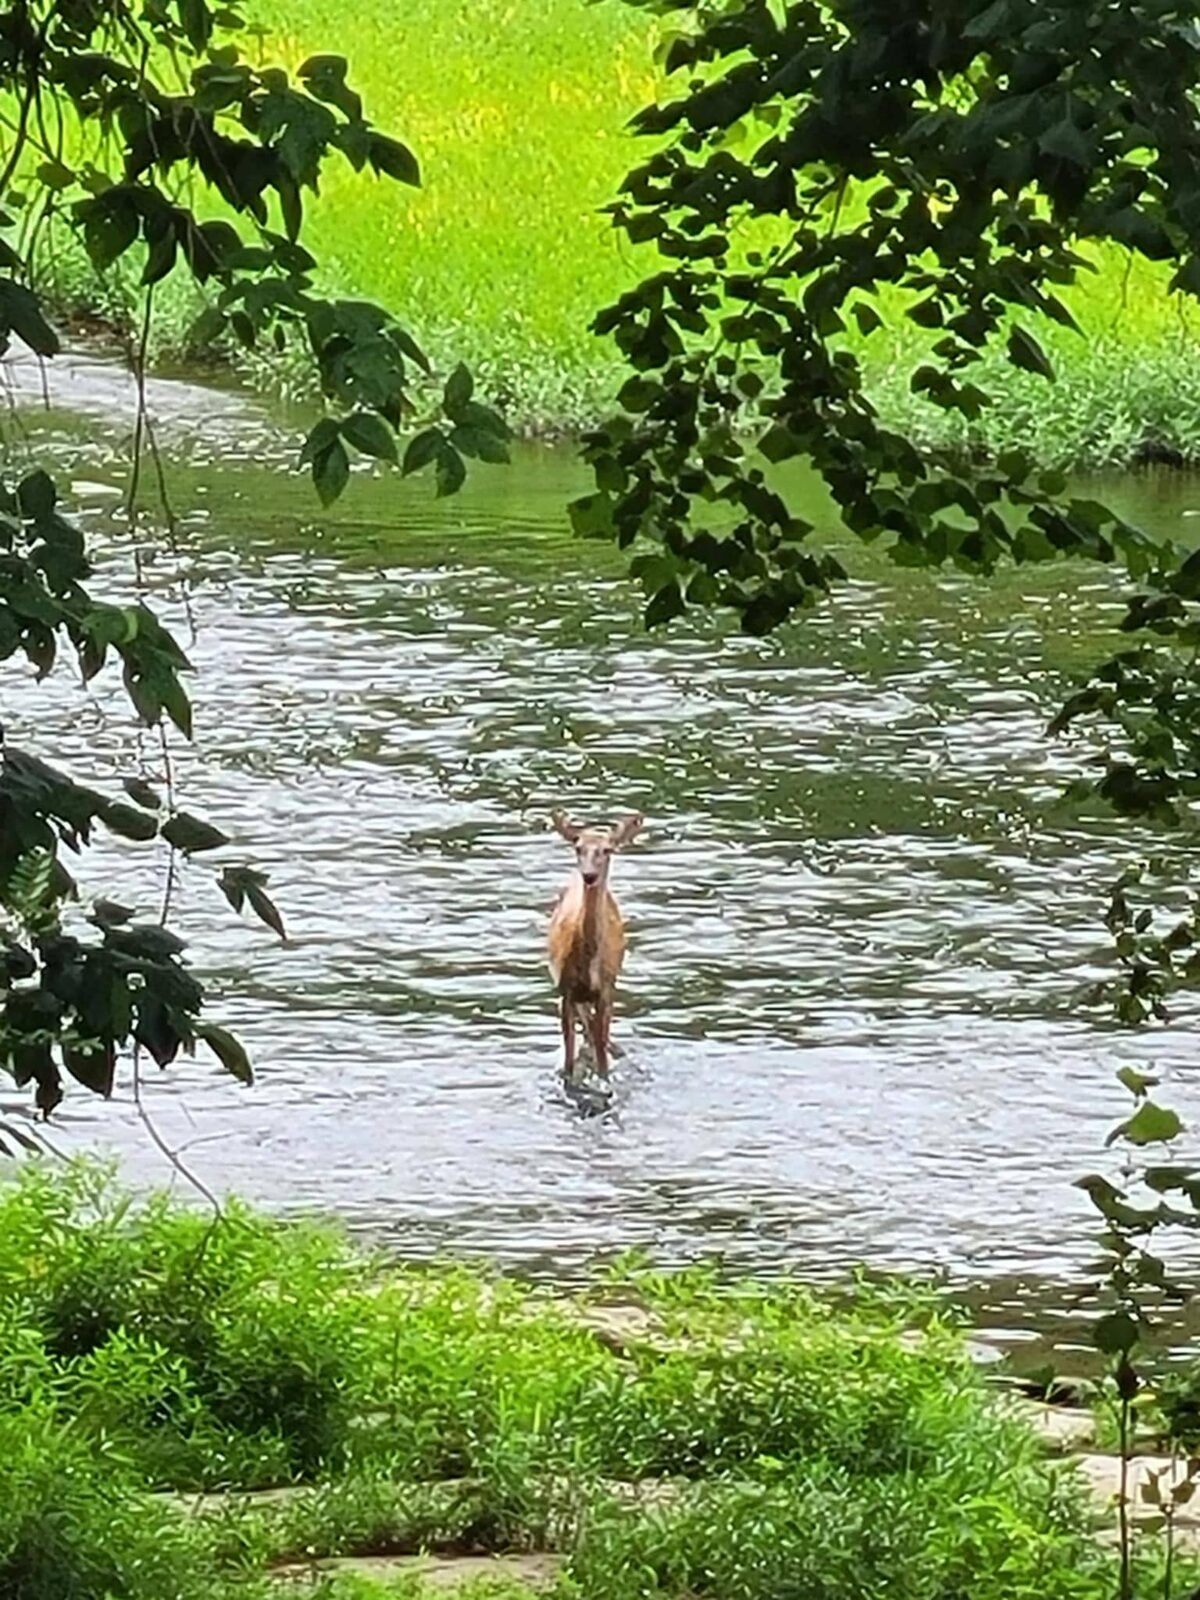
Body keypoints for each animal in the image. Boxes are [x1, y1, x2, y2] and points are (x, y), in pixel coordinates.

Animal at [547, 810, 644, 1077]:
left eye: (607, 850)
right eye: (578, 848)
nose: (589, 875)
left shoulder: (605, 990)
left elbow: (602, 1061)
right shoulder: (566, 991)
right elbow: (569, 1061)